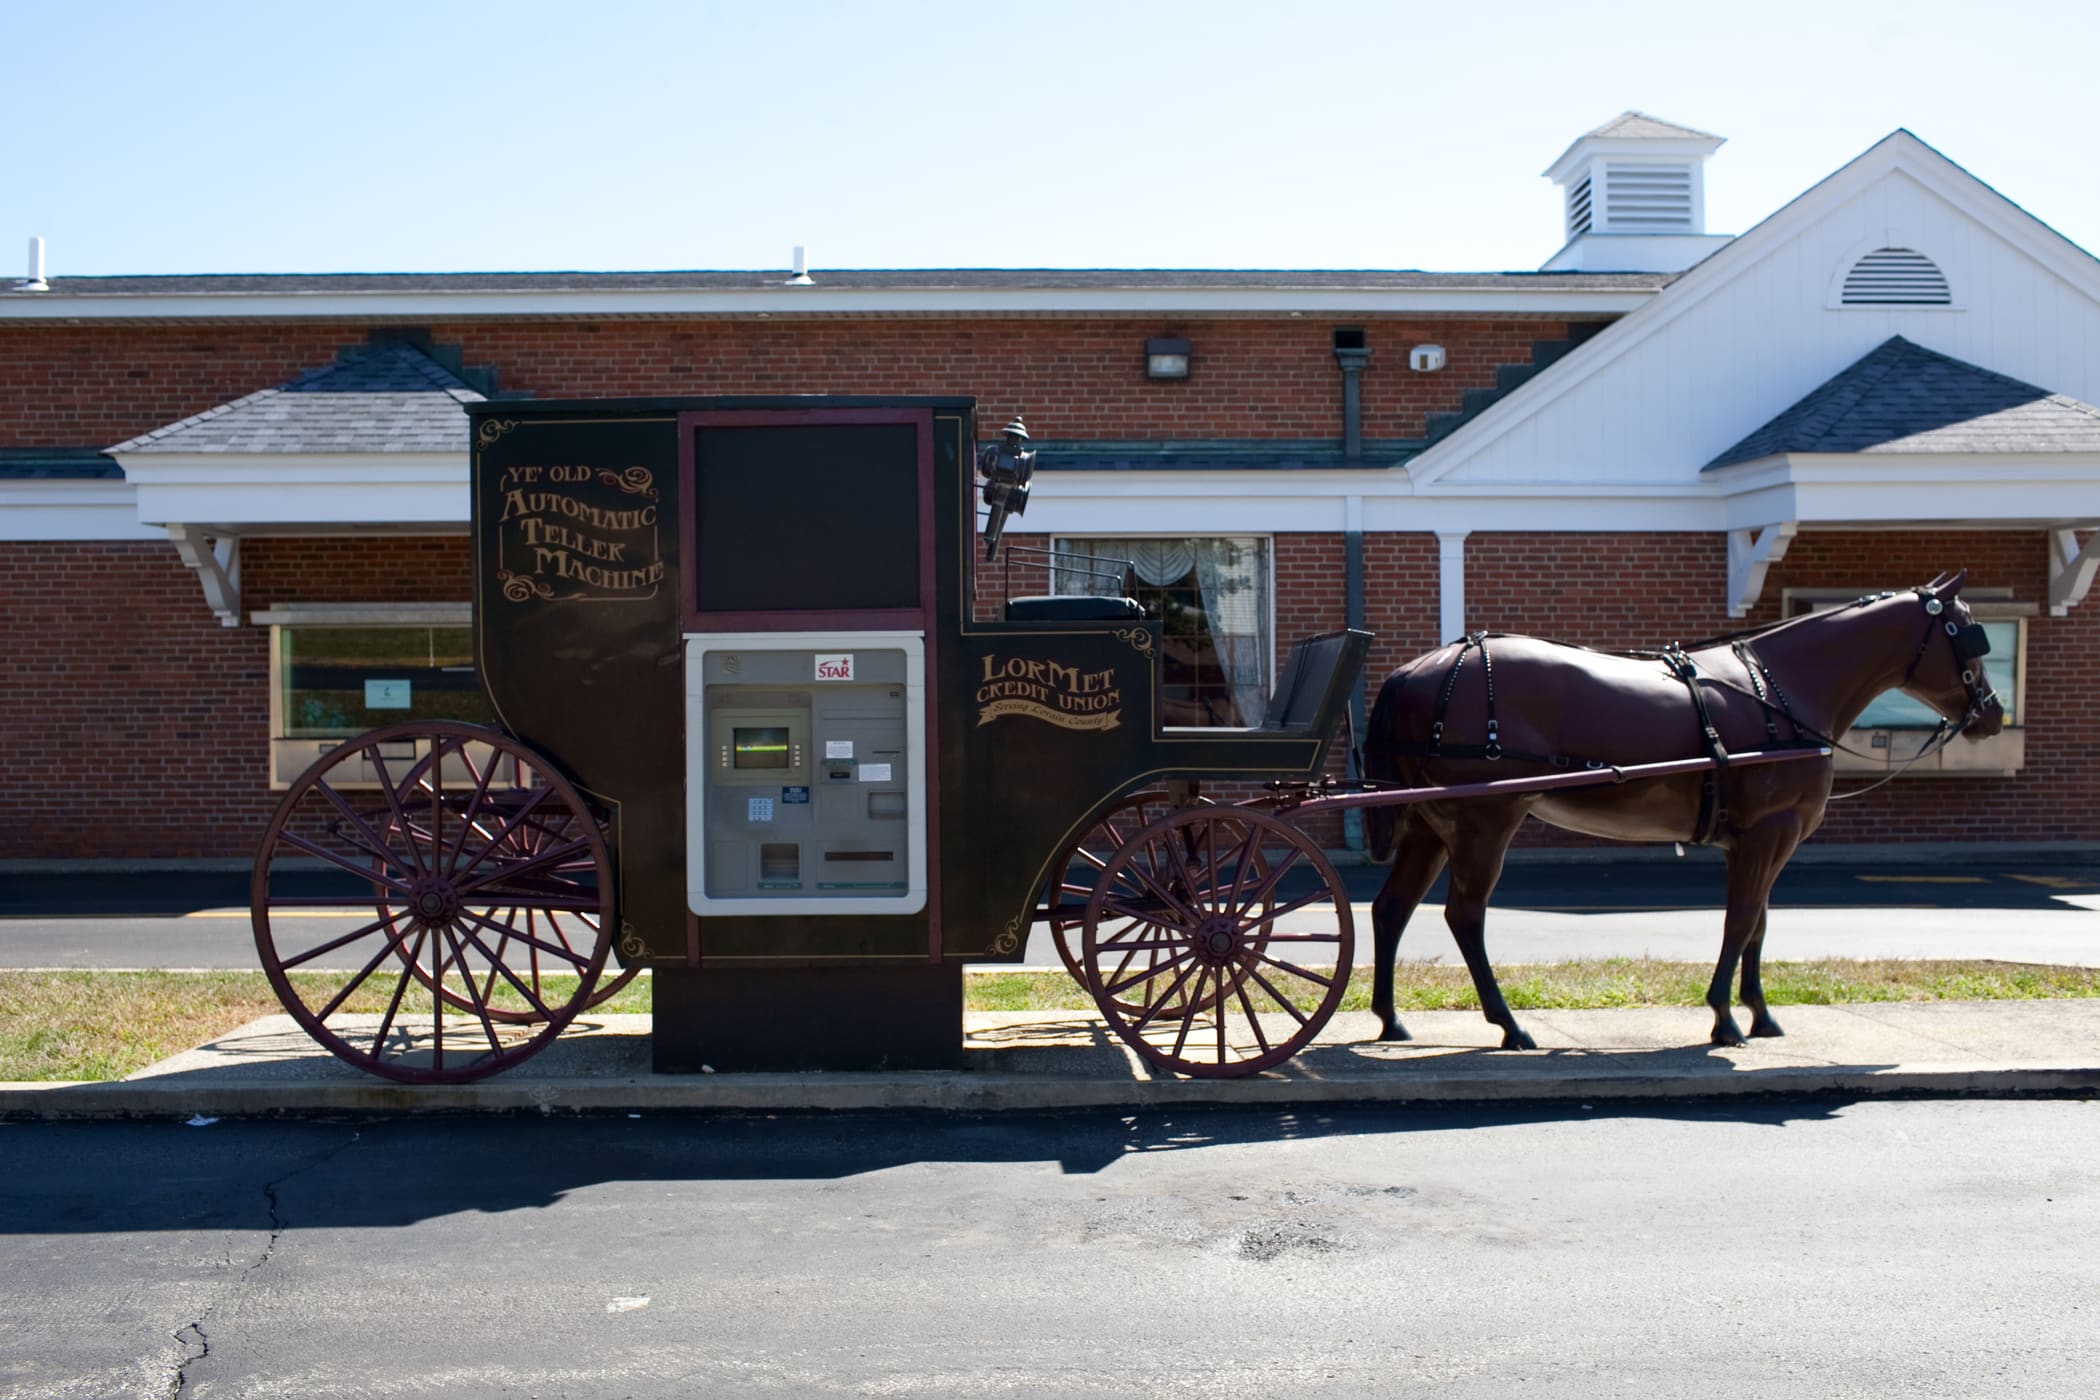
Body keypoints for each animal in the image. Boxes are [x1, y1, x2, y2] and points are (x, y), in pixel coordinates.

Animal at [1360, 570, 1999, 1049]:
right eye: (1969, 633)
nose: (1991, 713)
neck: (1777, 690)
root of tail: (1417, 670)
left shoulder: (1753, 840)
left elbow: (1758, 923)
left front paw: (1760, 1013)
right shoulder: (1771, 831)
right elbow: (1741, 920)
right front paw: (1724, 1017)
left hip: (1430, 824)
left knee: (1392, 909)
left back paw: (1391, 1019)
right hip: (1484, 821)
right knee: (1465, 916)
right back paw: (1509, 1024)